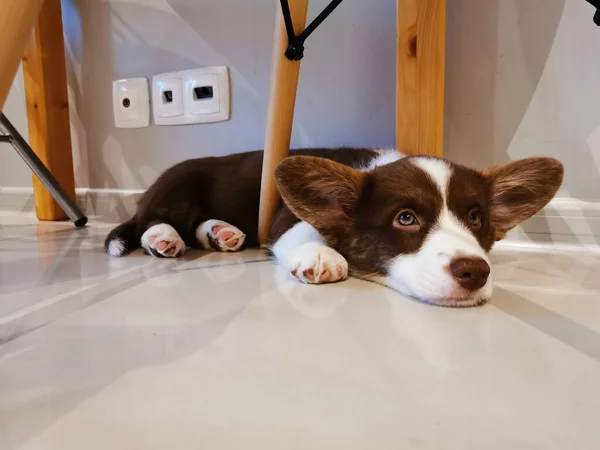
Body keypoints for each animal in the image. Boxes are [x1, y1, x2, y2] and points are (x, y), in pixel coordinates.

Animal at [104, 148, 564, 306]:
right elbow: (306, 230)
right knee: (148, 219)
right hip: (178, 189)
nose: (476, 272)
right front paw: (323, 255)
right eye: (406, 218)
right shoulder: (284, 218)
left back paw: (222, 233)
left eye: (475, 219)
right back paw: (162, 237)